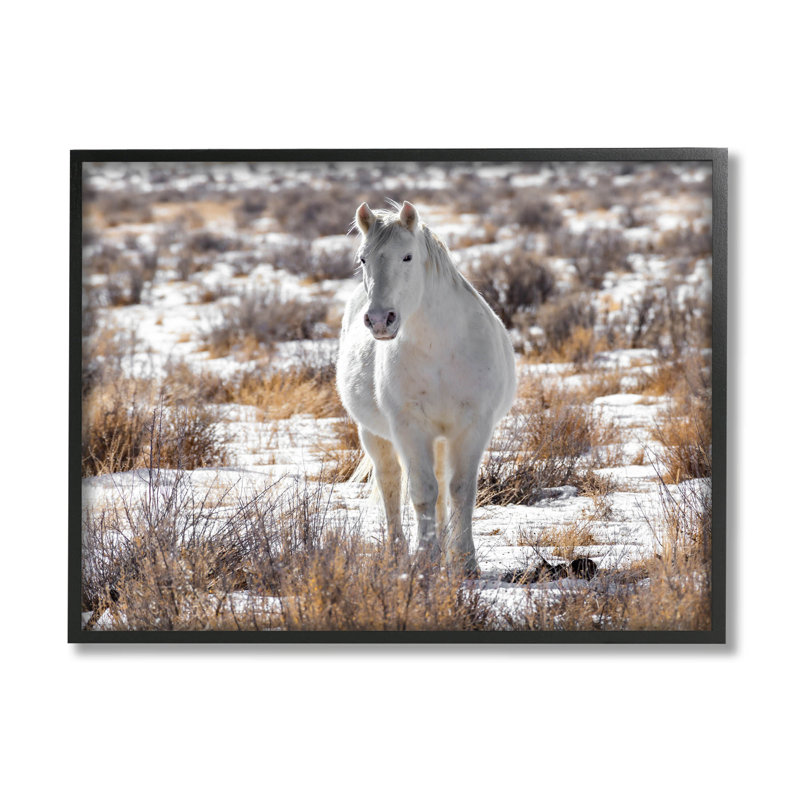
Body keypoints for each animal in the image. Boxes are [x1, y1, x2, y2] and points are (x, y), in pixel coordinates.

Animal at [336, 201, 516, 575]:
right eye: (363, 258)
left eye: (407, 257)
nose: (380, 320)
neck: (440, 349)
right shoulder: (410, 428)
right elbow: (422, 492)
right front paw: (425, 560)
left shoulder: (472, 426)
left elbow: (461, 490)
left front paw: (464, 562)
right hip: (373, 434)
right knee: (390, 483)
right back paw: (397, 552)